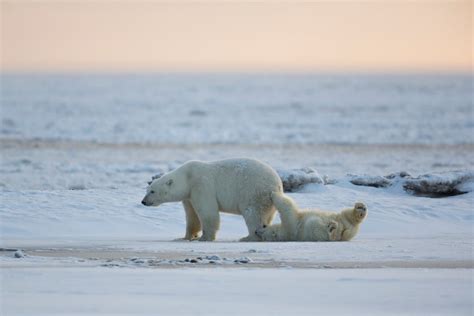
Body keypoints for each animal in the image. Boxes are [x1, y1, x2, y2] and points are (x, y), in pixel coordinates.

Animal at [141, 158, 282, 242]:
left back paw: (248, 237)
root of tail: (277, 184)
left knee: (253, 214)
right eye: (147, 190)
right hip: (266, 201)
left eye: (152, 191)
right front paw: (186, 237)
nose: (143, 201)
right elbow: (192, 216)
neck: (187, 177)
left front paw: (205, 237)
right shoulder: (189, 196)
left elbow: (207, 212)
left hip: (253, 192)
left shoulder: (201, 185)